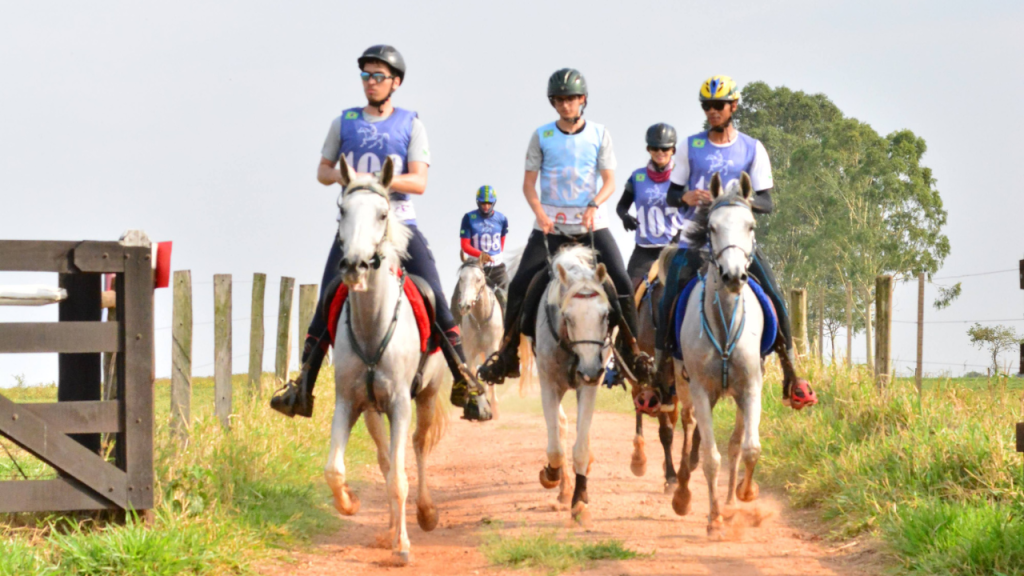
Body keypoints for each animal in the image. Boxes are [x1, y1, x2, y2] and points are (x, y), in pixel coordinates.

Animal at [321, 152, 446, 561]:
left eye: (382, 213)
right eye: (342, 210)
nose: (354, 265)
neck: (372, 325)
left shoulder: (401, 404)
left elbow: (400, 479)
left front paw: (404, 547)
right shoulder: (348, 402)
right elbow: (335, 470)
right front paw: (350, 503)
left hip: (426, 397)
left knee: (418, 447)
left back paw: (424, 513)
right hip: (373, 412)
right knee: (386, 459)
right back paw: (391, 527)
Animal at [456, 253, 503, 414]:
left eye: (478, 279)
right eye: (461, 278)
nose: (464, 306)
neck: (481, 320)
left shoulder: (492, 349)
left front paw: (492, 407)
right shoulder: (469, 351)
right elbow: (471, 373)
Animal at [524, 243, 610, 518]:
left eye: (605, 316)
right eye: (568, 317)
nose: (590, 369)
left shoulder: (589, 385)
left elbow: (580, 446)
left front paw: (580, 500)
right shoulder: (549, 385)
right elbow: (555, 447)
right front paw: (550, 474)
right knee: (560, 426)